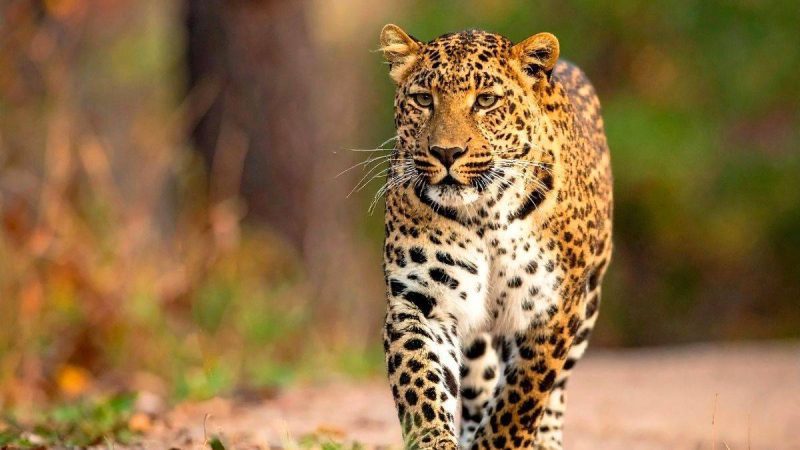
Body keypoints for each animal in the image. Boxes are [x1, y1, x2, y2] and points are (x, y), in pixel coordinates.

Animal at [378, 24, 612, 450]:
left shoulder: (552, 309)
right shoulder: (422, 302)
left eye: (485, 101)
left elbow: (520, 400)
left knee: (555, 393)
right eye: (423, 99)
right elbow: (422, 388)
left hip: (588, 306)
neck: (486, 213)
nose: (447, 152)